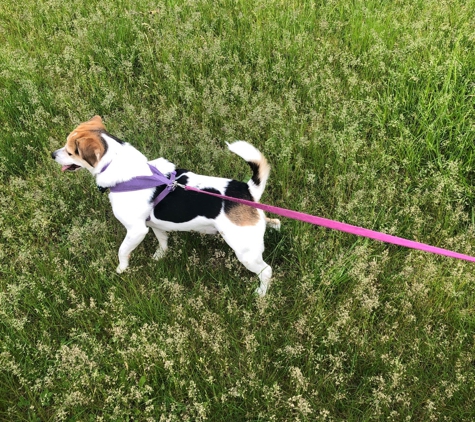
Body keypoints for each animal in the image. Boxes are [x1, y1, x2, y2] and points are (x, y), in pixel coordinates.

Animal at [52, 113, 280, 296]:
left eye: (70, 152)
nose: (52, 154)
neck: (119, 165)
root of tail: (247, 190)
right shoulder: (154, 225)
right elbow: (162, 241)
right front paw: (160, 256)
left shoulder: (135, 231)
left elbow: (122, 251)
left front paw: (121, 269)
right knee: (273, 220)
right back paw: (274, 226)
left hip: (245, 251)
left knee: (266, 271)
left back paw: (261, 293)